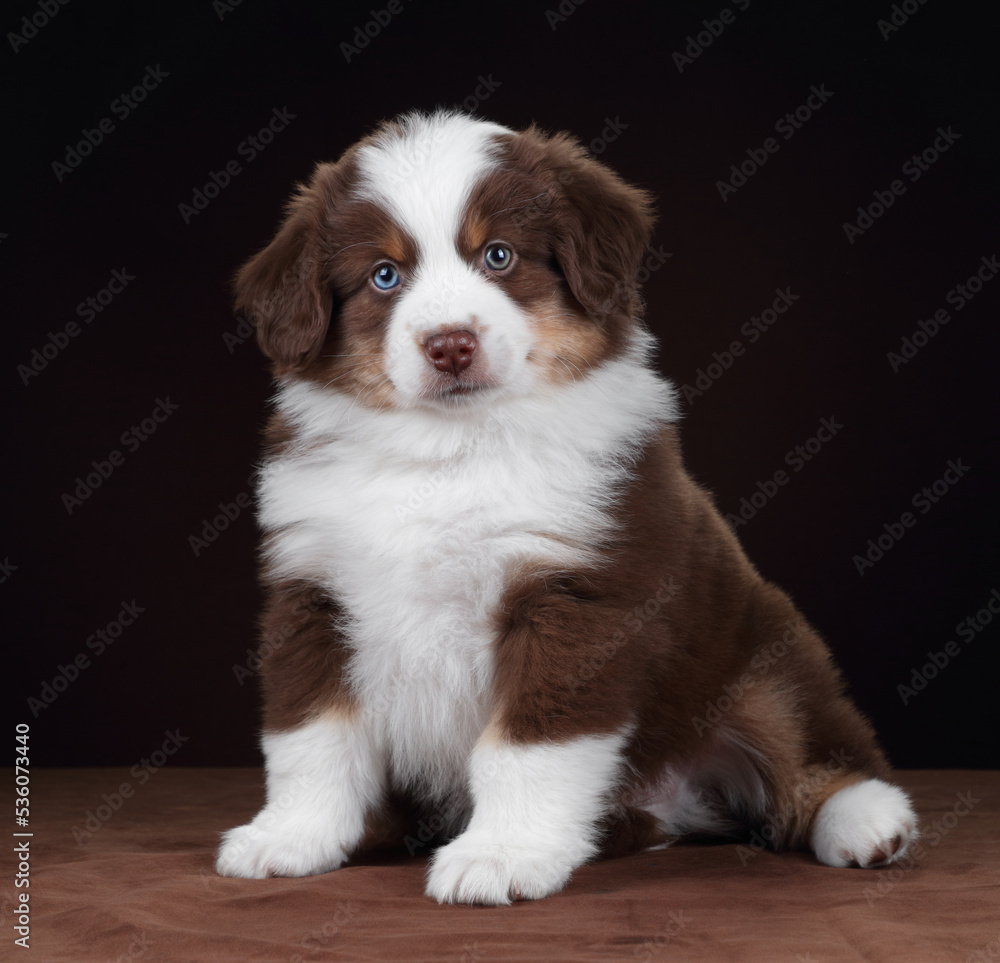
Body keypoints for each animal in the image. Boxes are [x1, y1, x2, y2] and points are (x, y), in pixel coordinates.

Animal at [215, 111, 916, 904]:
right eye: (384, 275)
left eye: (499, 256)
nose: (450, 344)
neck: (449, 453)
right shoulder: (313, 591)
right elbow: (310, 736)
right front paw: (290, 836)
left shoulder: (575, 595)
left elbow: (527, 746)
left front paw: (502, 854)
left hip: (763, 659)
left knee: (813, 745)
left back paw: (867, 820)